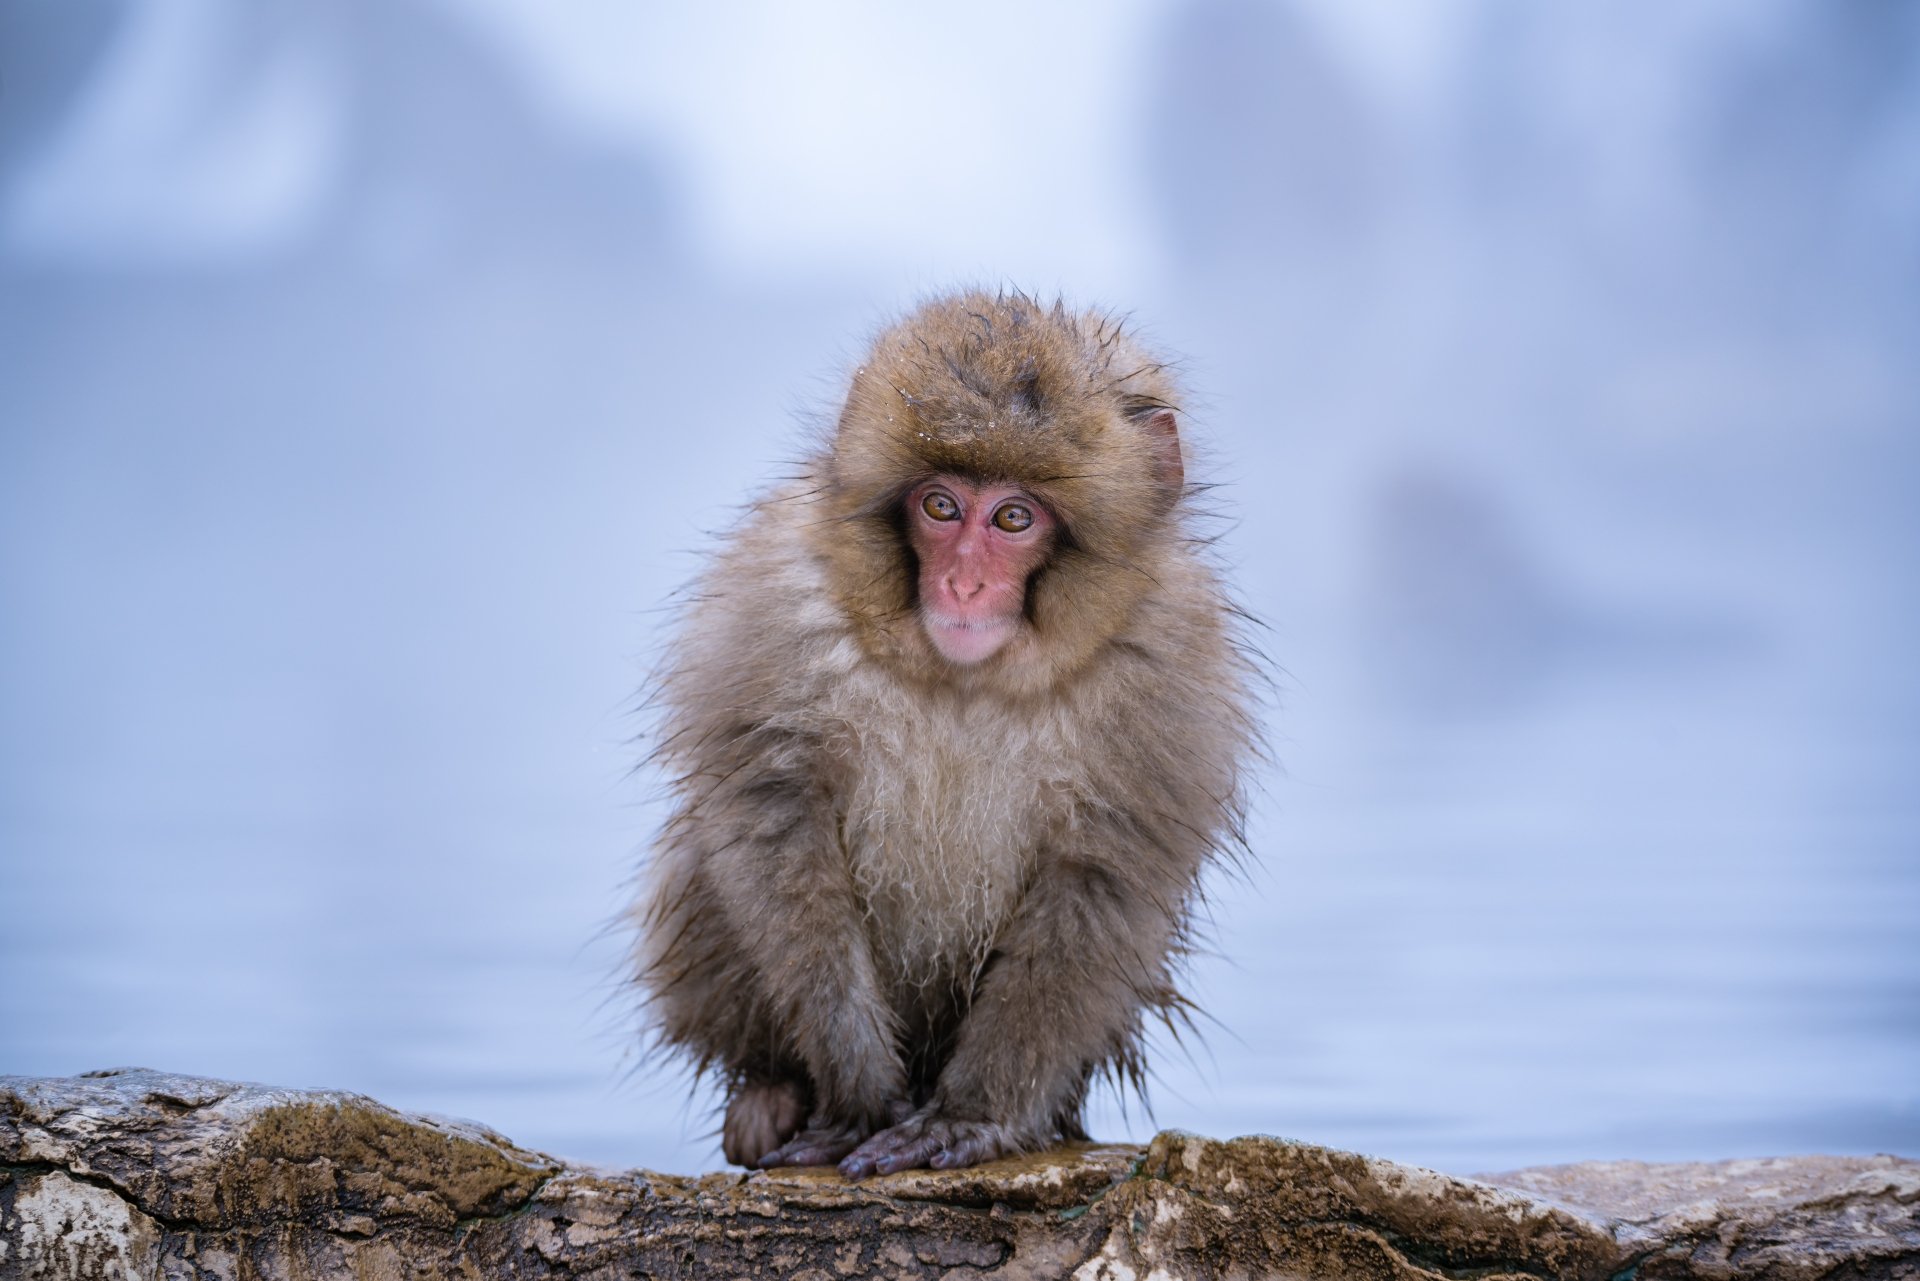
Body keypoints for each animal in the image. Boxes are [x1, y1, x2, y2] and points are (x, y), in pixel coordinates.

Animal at [632, 289, 1257, 1177]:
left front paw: (973, 1115)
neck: (971, 676)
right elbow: (774, 825)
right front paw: (856, 1095)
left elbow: (1102, 879)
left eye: (1014, 517)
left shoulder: (1172, 661)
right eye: (940, 505)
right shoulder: (778, 598)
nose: (962, 582)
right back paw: (770, 1089)